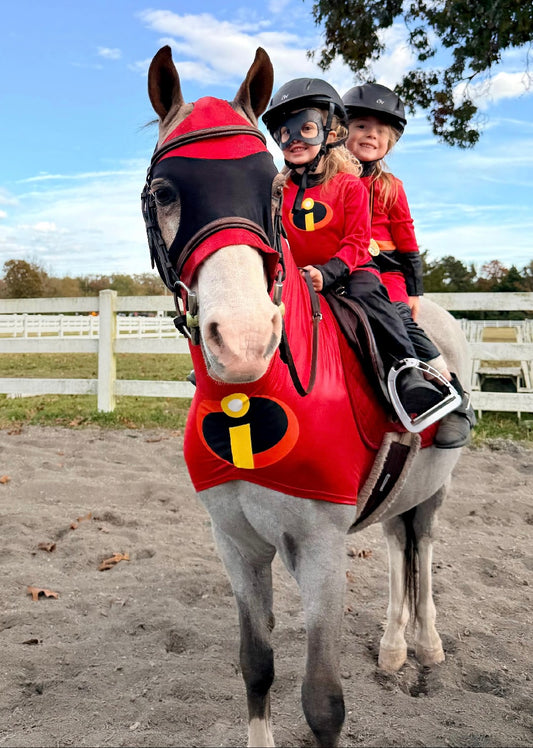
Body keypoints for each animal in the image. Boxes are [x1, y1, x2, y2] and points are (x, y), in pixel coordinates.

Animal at [142, 45, 471, 748]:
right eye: (165, 193)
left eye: (270, 187)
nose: (243, 339)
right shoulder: (237, 547)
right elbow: (256, 665)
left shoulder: (321, 553)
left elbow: (322, 703)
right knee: (399, 545)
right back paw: (394, 647)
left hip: (434, 488)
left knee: (424, 548)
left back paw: (426, 646)